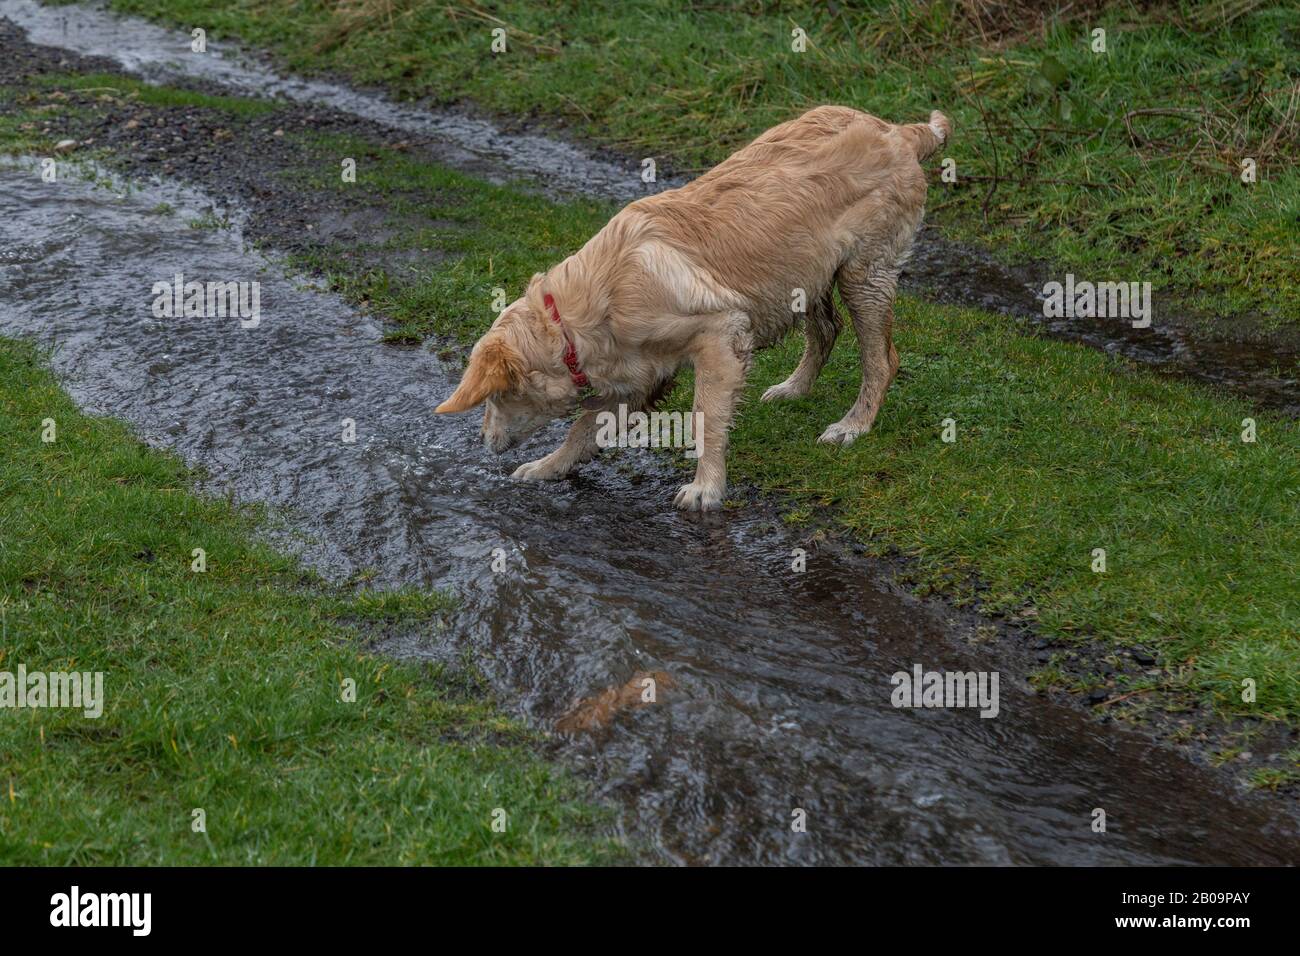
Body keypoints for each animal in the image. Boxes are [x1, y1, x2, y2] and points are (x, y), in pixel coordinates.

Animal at [431, 104, 951, 509]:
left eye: (493, 398)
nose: (482, 441)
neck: (579, 315)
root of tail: (898, 131)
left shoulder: (721, 334)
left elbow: (707, 415)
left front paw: (707, 487)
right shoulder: (635, 374)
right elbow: (583, 427)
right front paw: (548, 466)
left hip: (864, 274)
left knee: (881, 359)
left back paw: (852, 425)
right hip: (804, 271)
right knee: (826, 330)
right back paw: (794, 388)